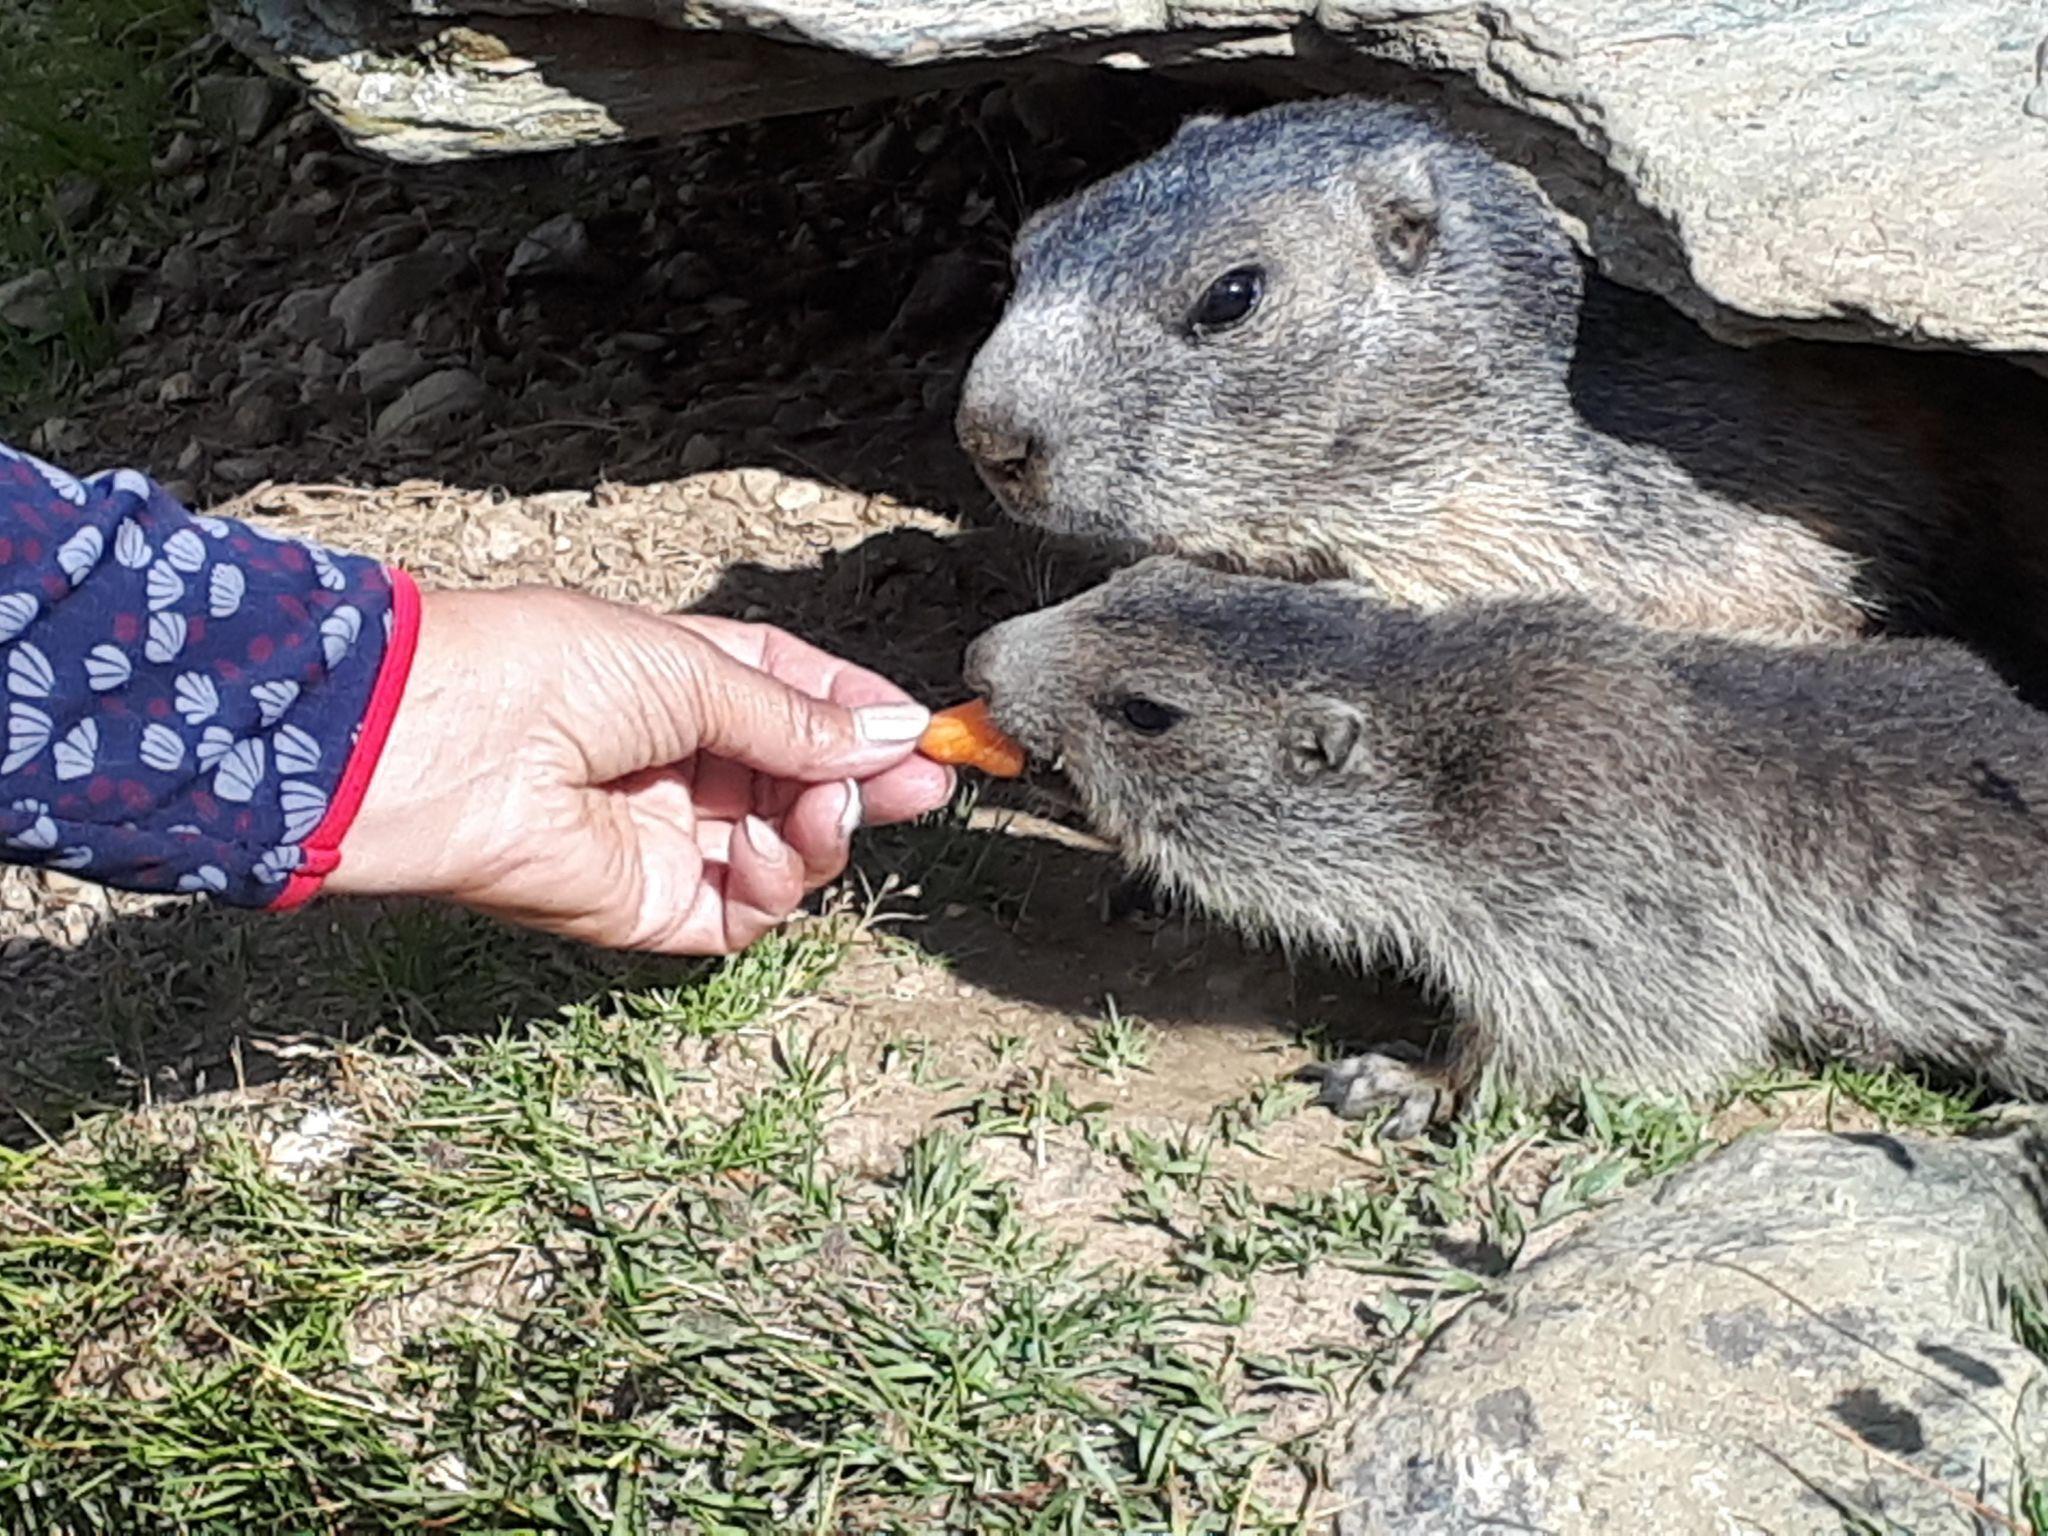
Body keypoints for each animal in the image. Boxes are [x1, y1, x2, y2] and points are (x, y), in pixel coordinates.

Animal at [964, 556, 2048, 1133]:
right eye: (1132, 574)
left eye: (1147, 710)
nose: (978, 653)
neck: (1449, 729)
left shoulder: (1581, 877)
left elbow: (1624, 1020)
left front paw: (1401, 1079)